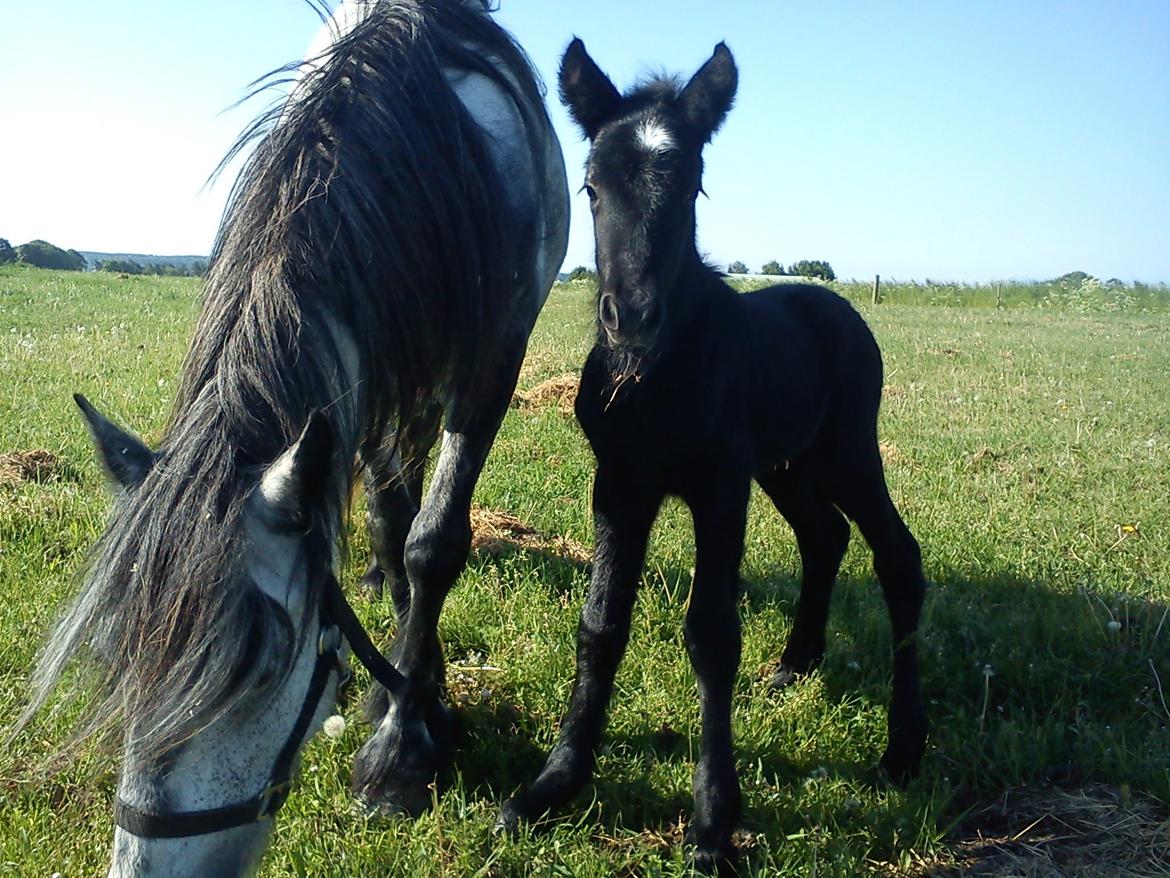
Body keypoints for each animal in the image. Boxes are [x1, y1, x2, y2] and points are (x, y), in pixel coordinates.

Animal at [19, 1, 568, 873]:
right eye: (114, 658)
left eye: (255, 676)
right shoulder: (369, 366)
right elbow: (390, 523)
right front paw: (401, 692)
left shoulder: (492, 357)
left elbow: (434, 543)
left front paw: (400, 753)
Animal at [499, 39, 927, 871]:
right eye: (591, 185)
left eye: (692, 182)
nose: (631, 315)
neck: (656, 377)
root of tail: (834, 305)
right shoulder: (620, 484)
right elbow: (601, 624)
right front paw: (554, 784)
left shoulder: (719, 487)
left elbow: (711, 634)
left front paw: (712, 826)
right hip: (789, 468)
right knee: (825, 536)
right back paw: (795, 664)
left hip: (848, 454)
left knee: (897, 556)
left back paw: (903, 750)